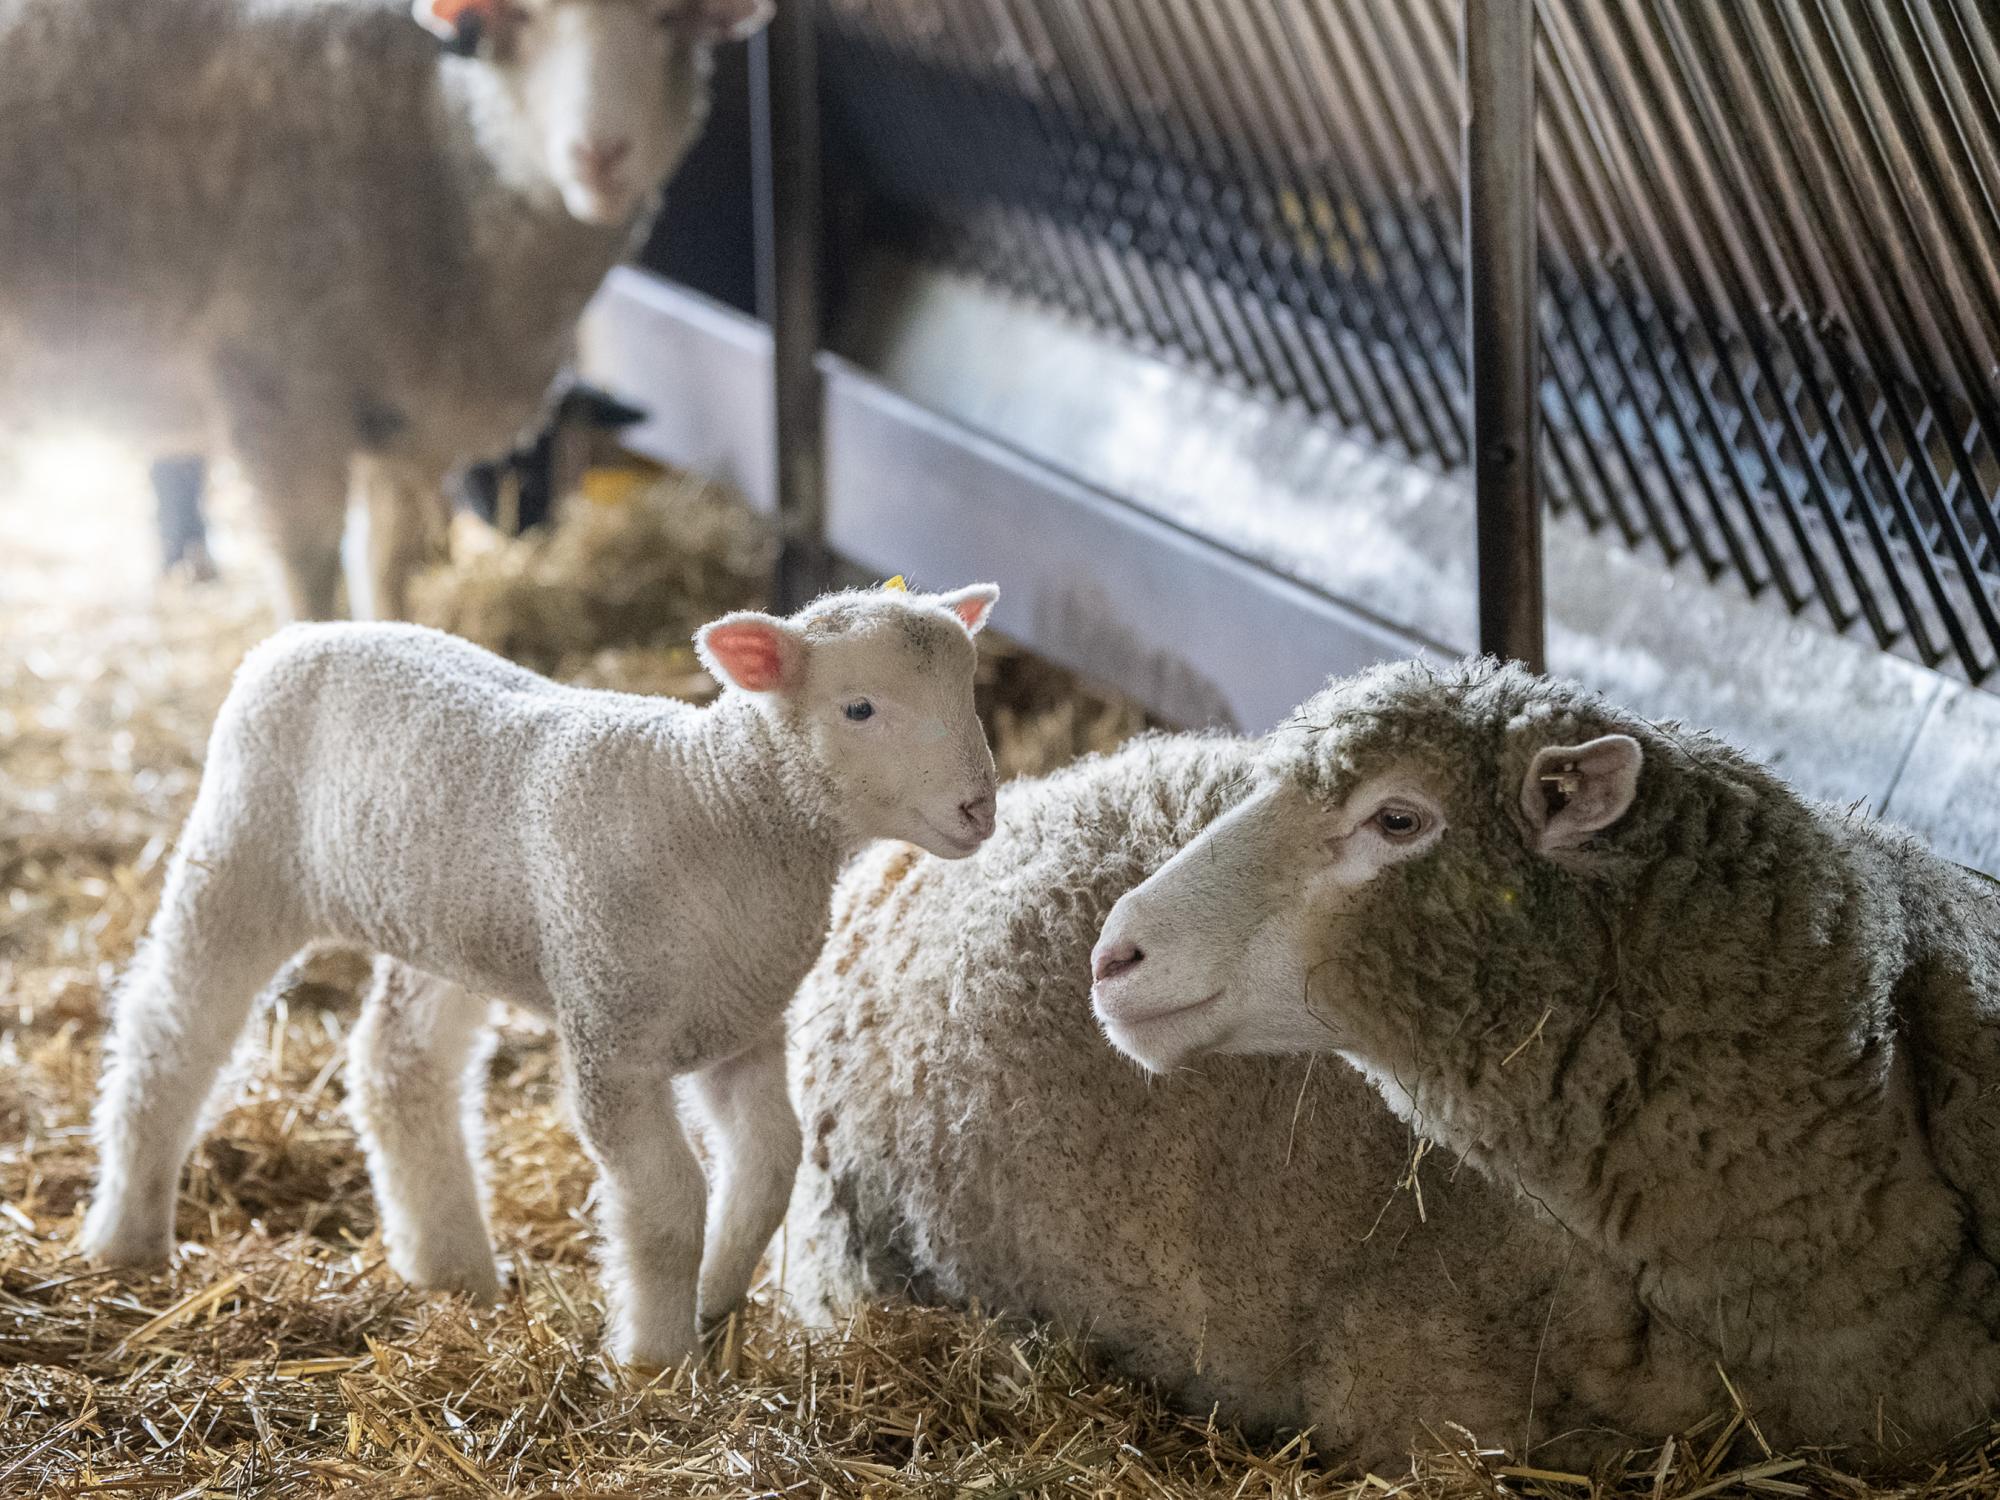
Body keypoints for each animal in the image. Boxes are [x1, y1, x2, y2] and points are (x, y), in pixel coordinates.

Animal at [0, 0, 768, 622]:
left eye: (667, 18)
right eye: (521, 16)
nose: (599, 154)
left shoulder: (401, 421)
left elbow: (386, 566)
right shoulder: (282, 398)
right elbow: (311, 578)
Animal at [81, 581, 1001, 1369]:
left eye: (970, 693)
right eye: (860, 708)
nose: (979, 808)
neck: (722, 805)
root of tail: (306, 632)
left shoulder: (741, 1026)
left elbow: (770, 1168)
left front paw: (715, 1301)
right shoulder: (613, 1034)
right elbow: (669, 1205)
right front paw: (656, 1360)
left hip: (446, 928)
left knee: (399, 1068)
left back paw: (452, 1268)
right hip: (239, 859)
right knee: (168, 1036)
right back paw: (128, 1233)